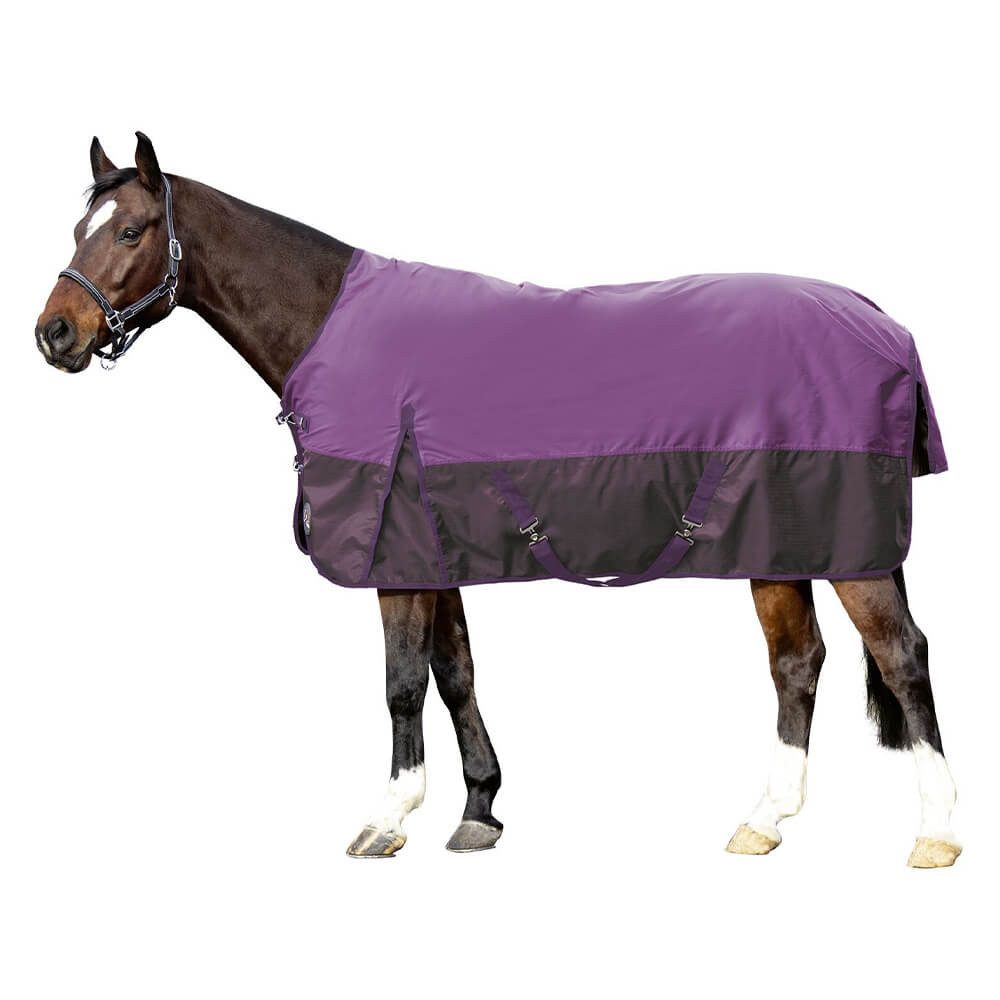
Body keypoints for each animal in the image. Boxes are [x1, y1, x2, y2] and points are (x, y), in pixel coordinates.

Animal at [34, 133, 960, 867]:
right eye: (80, 228)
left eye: (130, 229)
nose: (55, 333)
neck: (338, 328)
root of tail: (881, 321)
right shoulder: (433, 549)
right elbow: (455, 674)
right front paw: (479, 809)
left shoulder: (396, 554)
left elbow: (402, 681)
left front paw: (388, 818)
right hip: (782, 540)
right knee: (798, 662)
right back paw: (765, 820)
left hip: (848, 545)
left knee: (901, 657)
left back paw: (937, 833)